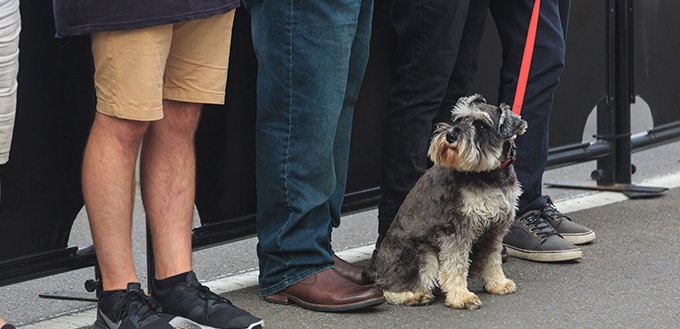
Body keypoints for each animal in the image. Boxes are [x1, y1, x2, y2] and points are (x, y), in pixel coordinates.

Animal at [364, 94, 528, 308]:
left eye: (482, 125)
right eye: (459, 119)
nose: (450, 135)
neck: (487, 174)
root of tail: (375, 269)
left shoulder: (495, 228)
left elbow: (492, 258)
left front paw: (497, 283)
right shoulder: (457, 228)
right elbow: (455, 264)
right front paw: (461, 296)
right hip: (425, 255)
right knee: (385, 287)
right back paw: (414, 296)